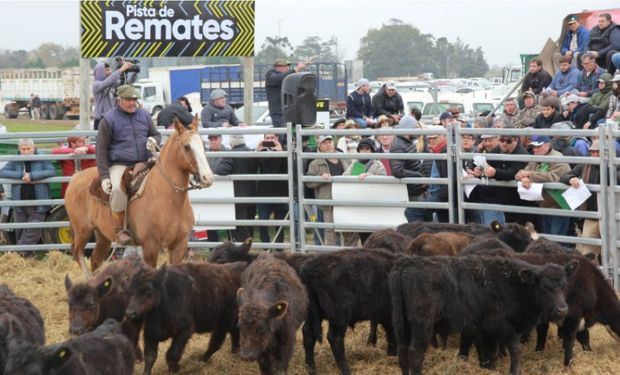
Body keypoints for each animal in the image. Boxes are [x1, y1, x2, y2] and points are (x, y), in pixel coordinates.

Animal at [63, 119, 213, 274]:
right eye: (186, 146)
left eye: (202, 145)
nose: (207, 178)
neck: (170, 200)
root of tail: (76, 176)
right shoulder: (150, 246)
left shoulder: (179, 245)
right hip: (82, 231)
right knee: (77, 253)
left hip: (102, 235)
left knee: (95, 259)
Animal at [390, 256, 580, 375]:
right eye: (545, 289)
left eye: (564, 286)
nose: (562, 309)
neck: (513, 284)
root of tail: (406, 264)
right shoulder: (505, 327)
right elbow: (514, 350)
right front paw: (514, 371)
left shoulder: (484, 329)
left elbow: (489, 354)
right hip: (422, 323)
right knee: (415, 352)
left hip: (401, 323)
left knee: (402, 351)